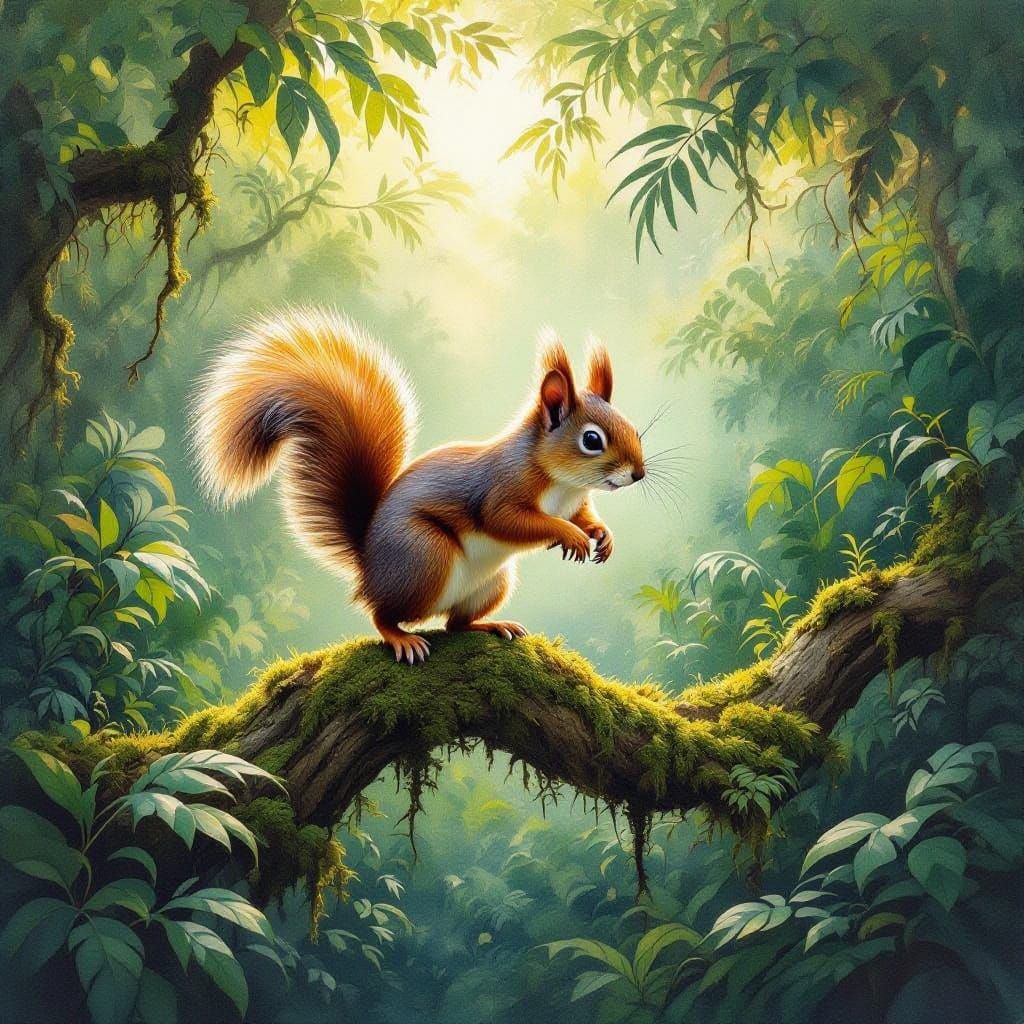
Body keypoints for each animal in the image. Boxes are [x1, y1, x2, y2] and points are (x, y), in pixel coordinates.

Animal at [191, 309, 646, 663]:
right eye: (592, 440)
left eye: (633, 427)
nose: (638, 473)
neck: (564, 484)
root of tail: (369, 568)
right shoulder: (501, 488)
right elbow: (509, 521)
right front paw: (569, 535)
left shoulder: (574, 501)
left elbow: (584, 515)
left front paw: (601, 534)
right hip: (424, 556)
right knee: (383, 614)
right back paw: (401, 637)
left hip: (492, 582)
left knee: (455, 624)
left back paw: (491, 625)